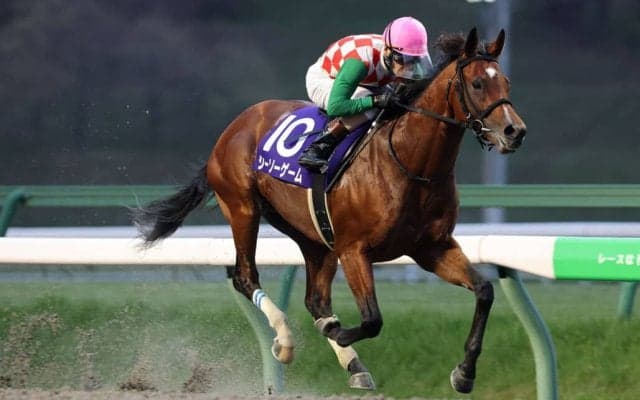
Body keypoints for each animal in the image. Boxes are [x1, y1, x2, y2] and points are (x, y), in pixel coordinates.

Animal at [132, 27, 526, 394]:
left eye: (506, 81)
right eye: (477, 83)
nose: (514, 131)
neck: (410, 163)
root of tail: (234, 127)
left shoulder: (432, 247)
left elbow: (485, 292)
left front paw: (464, 373)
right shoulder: (354, 250)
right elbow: (372, 320)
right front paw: (338, 332)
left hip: (313, 236)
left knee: (316, 300)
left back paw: (353, 364)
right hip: (242, 208)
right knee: (245, 276)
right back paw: (285, 341)